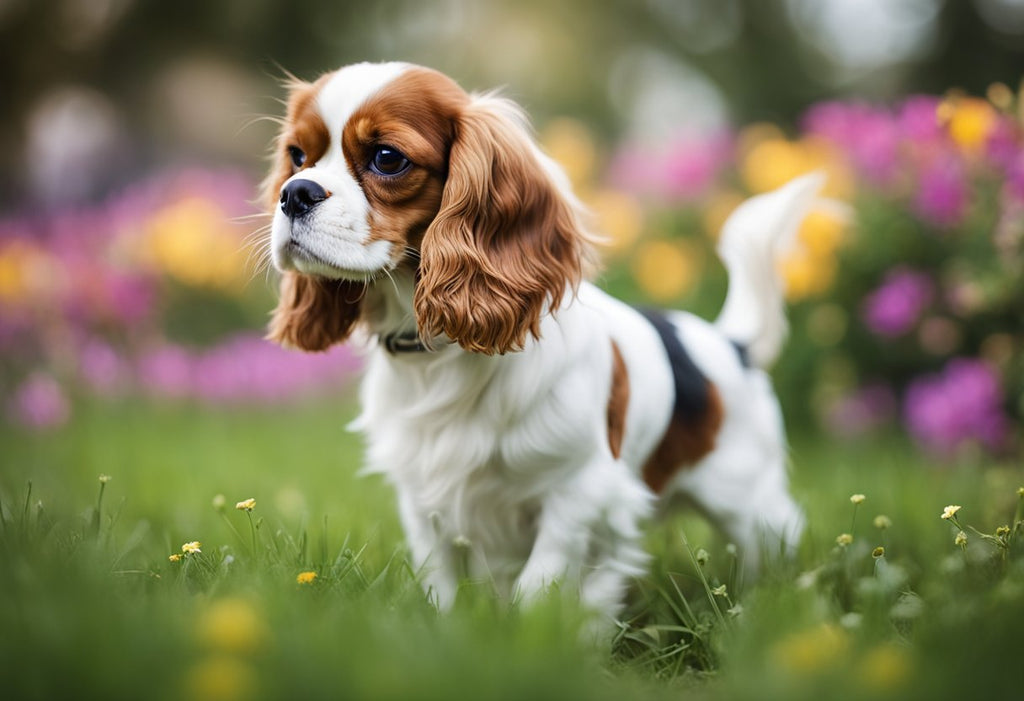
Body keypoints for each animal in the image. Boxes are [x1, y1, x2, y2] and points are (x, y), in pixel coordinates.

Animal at [262, 60, 815, 618]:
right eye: (297, 156)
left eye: (387, 158)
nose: (296, 193)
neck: (436, 352)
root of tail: (732, 344)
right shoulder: (424, 502)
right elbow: (440, 583)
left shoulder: (582, 492)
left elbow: (542, 585)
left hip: (748, 501)